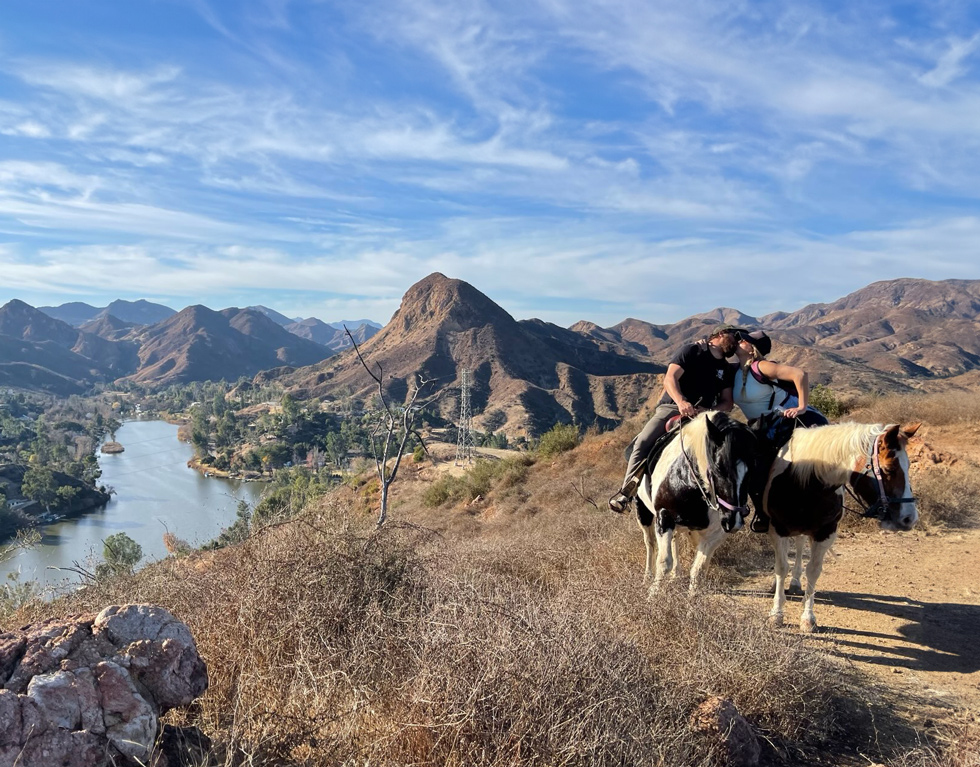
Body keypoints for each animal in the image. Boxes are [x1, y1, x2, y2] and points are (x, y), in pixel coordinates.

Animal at [764, 424, 920, 632]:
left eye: (909, 466)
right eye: (889, 468)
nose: (909, 518)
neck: (806, 482)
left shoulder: (825, 532)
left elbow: (813, 570)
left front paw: (808, 618)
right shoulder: (777, 528)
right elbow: (781, 567)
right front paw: (776, 613)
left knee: (799, 544)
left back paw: (796, 582)